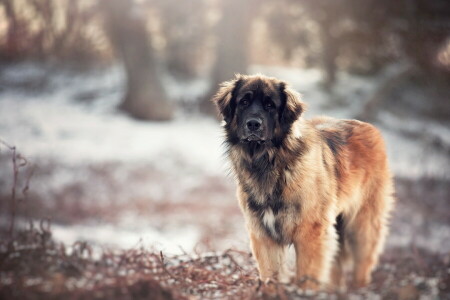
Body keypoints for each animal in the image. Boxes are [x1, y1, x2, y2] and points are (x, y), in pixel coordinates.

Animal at [214, 74, 394, 290]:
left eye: (270, 105)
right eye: (244, 102)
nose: (253, 124)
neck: (270, 163)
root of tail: (370, 127)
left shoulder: (311, 234)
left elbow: (307, 276)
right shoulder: (263, 235)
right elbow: (271, 274)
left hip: (361, 226)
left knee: (363, 263)